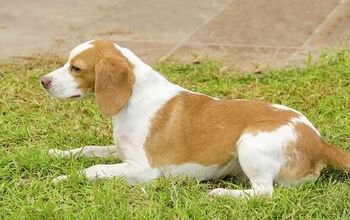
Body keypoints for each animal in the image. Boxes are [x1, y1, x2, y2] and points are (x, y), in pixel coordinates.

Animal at [41, 39, 350, 198]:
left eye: (75, 68)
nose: (43, 81)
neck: (134, 99)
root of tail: (319, 142)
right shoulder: (120, 152)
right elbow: (87, 150)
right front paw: (55, 154)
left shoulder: (143, 170)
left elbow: (93, 169)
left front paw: (62, 178)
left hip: (249, 142)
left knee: (264, 192)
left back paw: (222, 194)